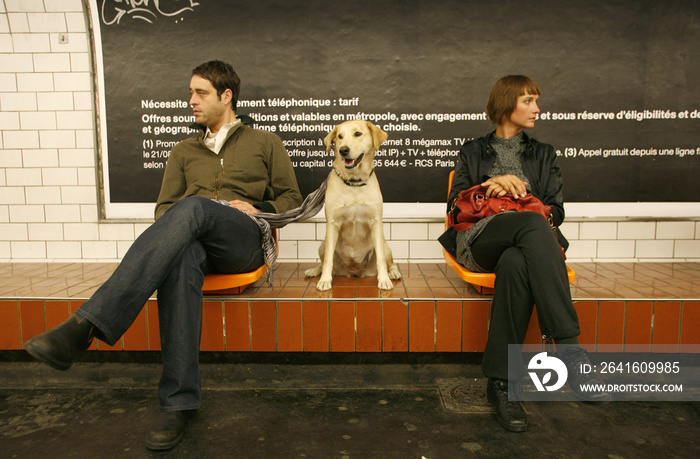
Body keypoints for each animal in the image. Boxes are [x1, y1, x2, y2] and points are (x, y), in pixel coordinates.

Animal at [304, 119, 402, 292]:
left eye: (357, 133)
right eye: (339, 136)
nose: (343, 150)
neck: (354, 183)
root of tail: (355, 272)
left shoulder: (376, 223)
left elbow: (381, 260)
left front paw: (384, 279)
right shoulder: (332, 224)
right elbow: (328, 260)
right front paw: (325, 280)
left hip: (385, 244)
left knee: (391, 262)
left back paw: (393, 273)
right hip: (322, 244)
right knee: (322, 262)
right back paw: (314, 271)